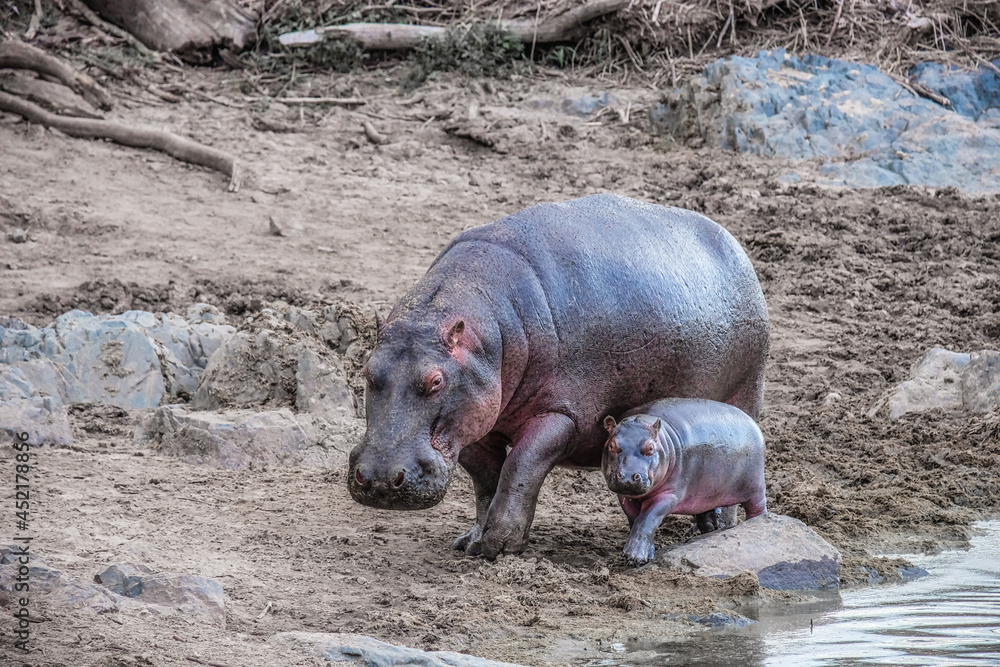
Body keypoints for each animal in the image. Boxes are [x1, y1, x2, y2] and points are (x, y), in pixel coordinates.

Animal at [602, 398, 768, 566]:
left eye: (650, 448)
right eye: (611, 445)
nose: (628, 477)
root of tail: (751, 420)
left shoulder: (669, 494)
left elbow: (647, 519)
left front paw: (635, 556)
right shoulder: (624, 496)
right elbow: (635, 520)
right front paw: (640, 557)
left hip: (756, 487)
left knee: (757, 508)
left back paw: (757, 523)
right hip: (707, 492)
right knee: (706, 512)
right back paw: (710, 527)